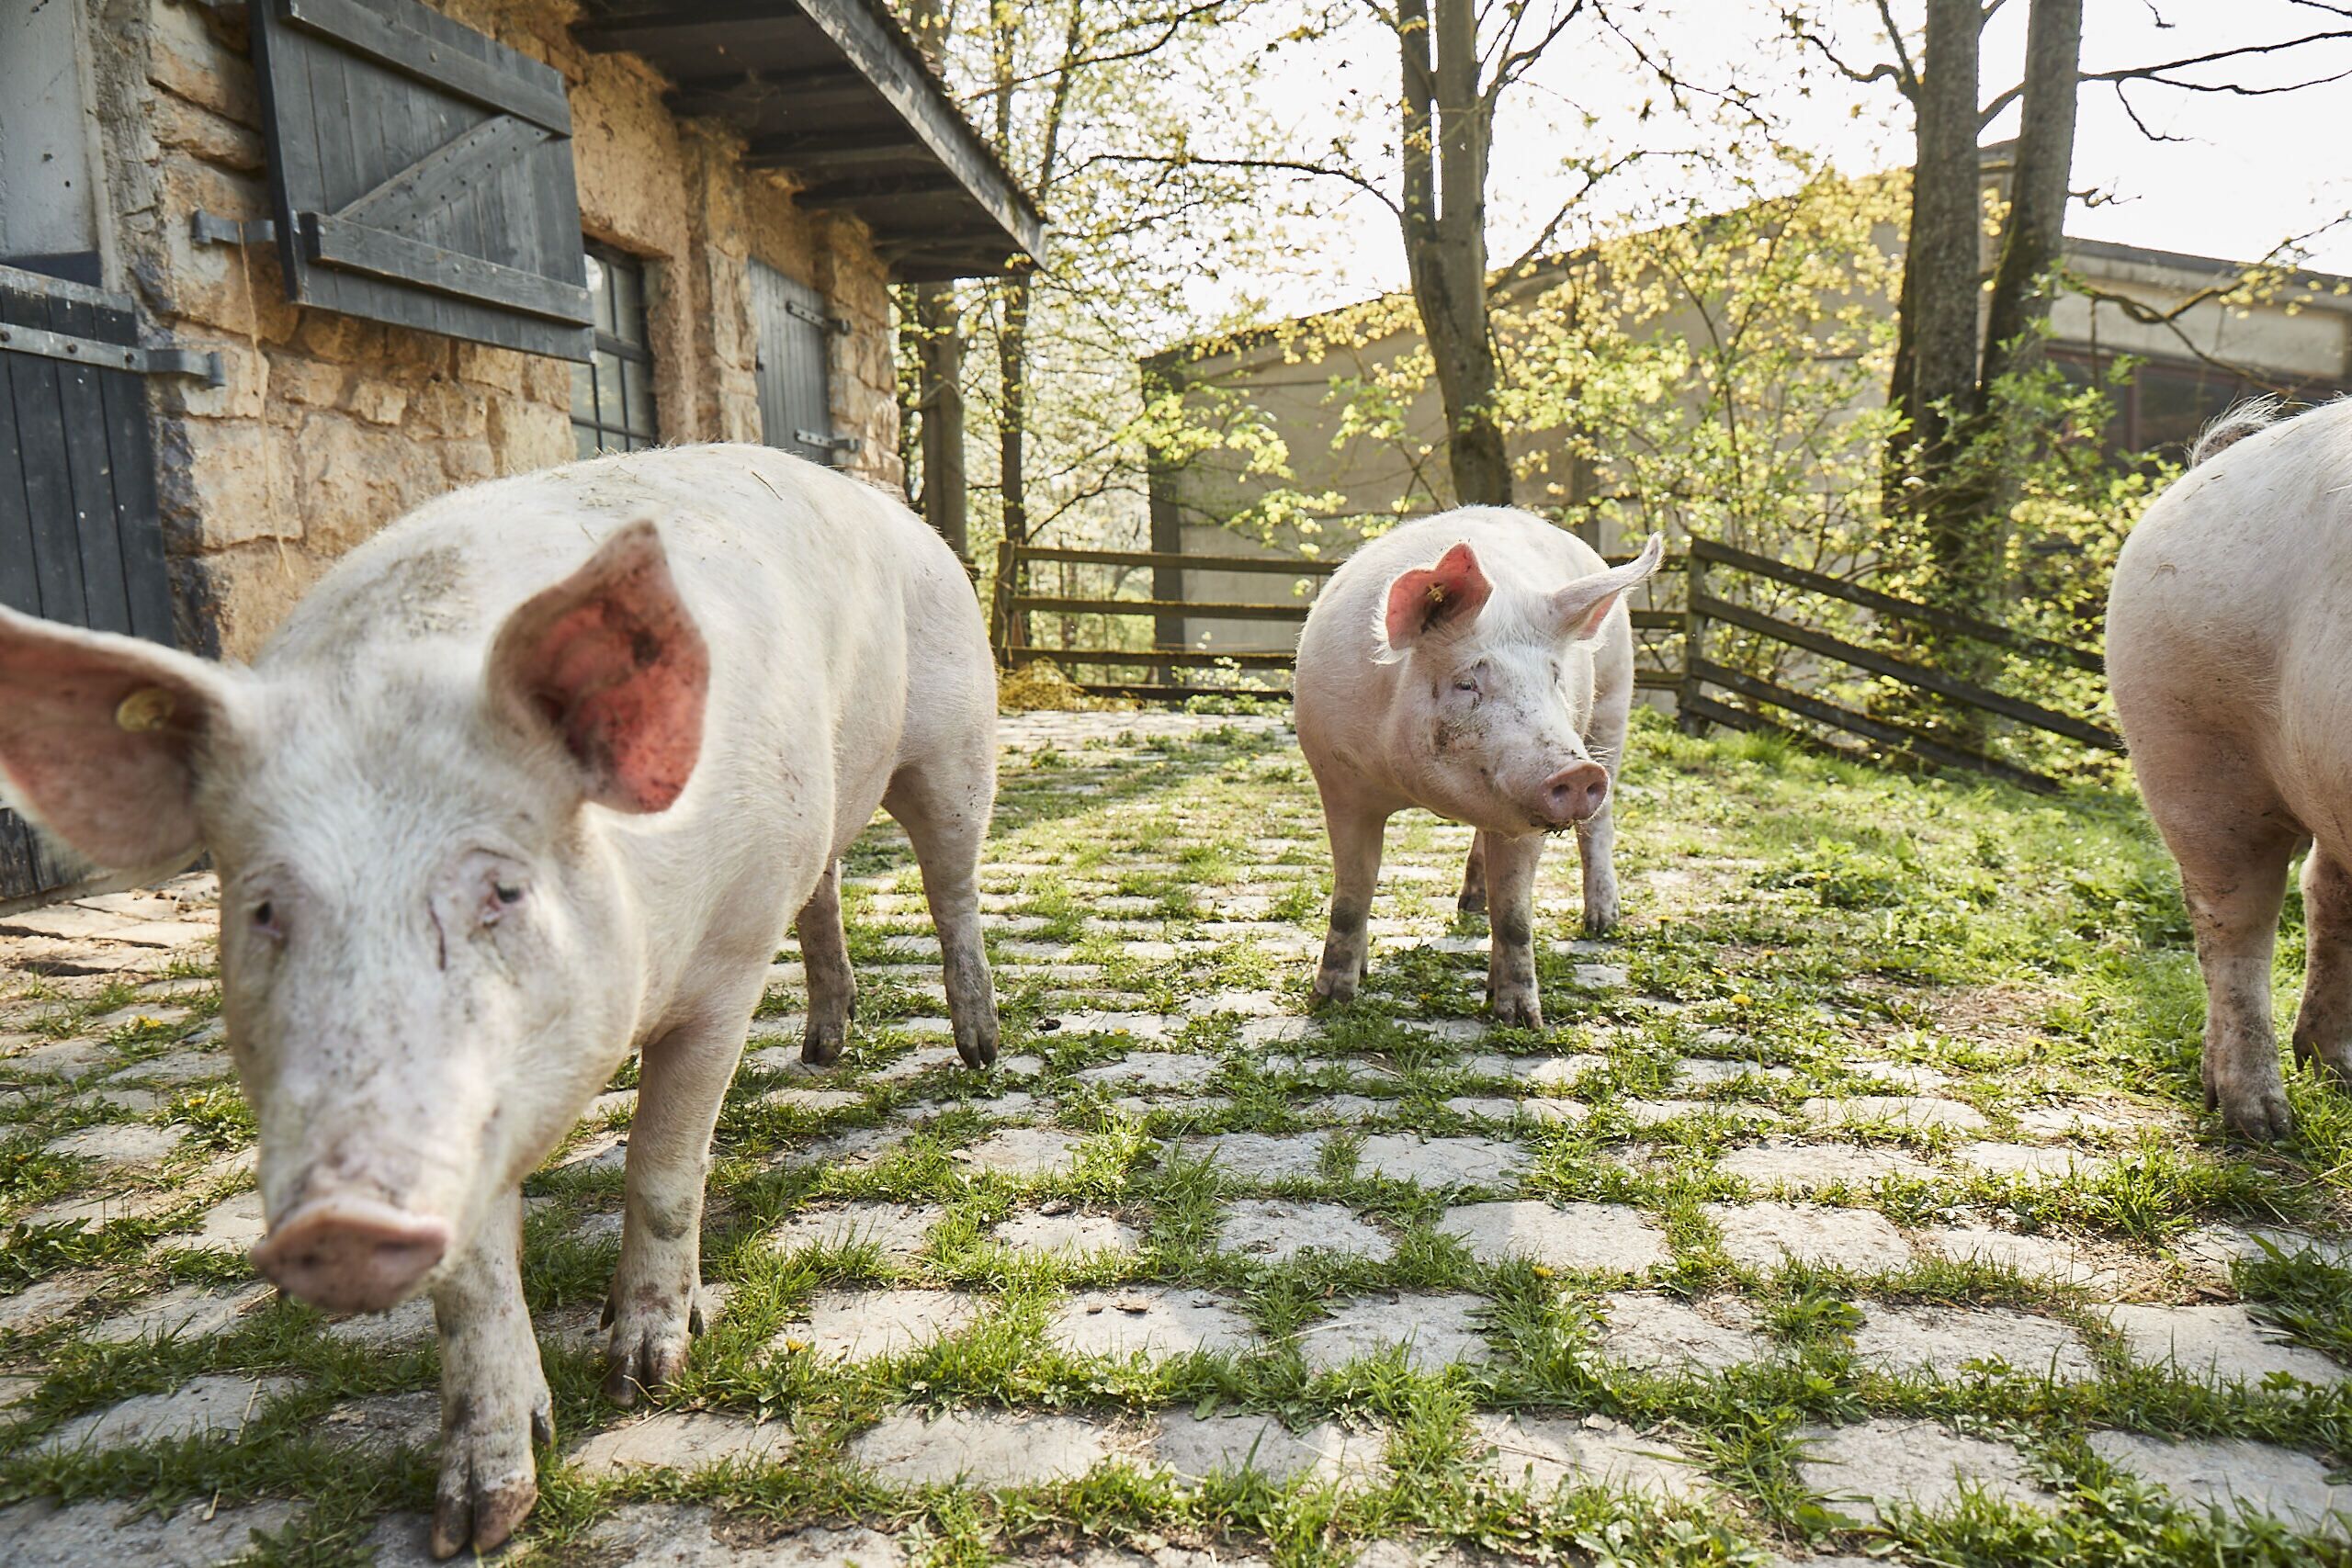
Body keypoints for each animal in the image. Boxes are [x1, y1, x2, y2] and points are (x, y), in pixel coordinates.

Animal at [0, 445, 1000, 1556]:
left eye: (504, 891)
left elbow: (664, 1167)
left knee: (951, 880)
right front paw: (481, 1519)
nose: (338, 1219)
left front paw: (644, 1375)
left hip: (956, 738)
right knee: (826, 883)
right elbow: (473, 1280)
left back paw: (978, 1048)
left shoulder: (729, 965)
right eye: (262, 907)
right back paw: (824, 1050)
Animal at [1293, 508, 1663, 1027]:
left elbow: (1515, 914)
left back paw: (1600, 925)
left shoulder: (1530, 815)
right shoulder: (1339, 780)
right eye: (1466, 683)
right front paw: (1329, 1003)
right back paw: (1469, 905)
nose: (1576, 774)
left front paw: (1521, 1021)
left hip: (1613, 704)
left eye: (1554, 677)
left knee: (1599, 826)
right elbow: (1352, 895)